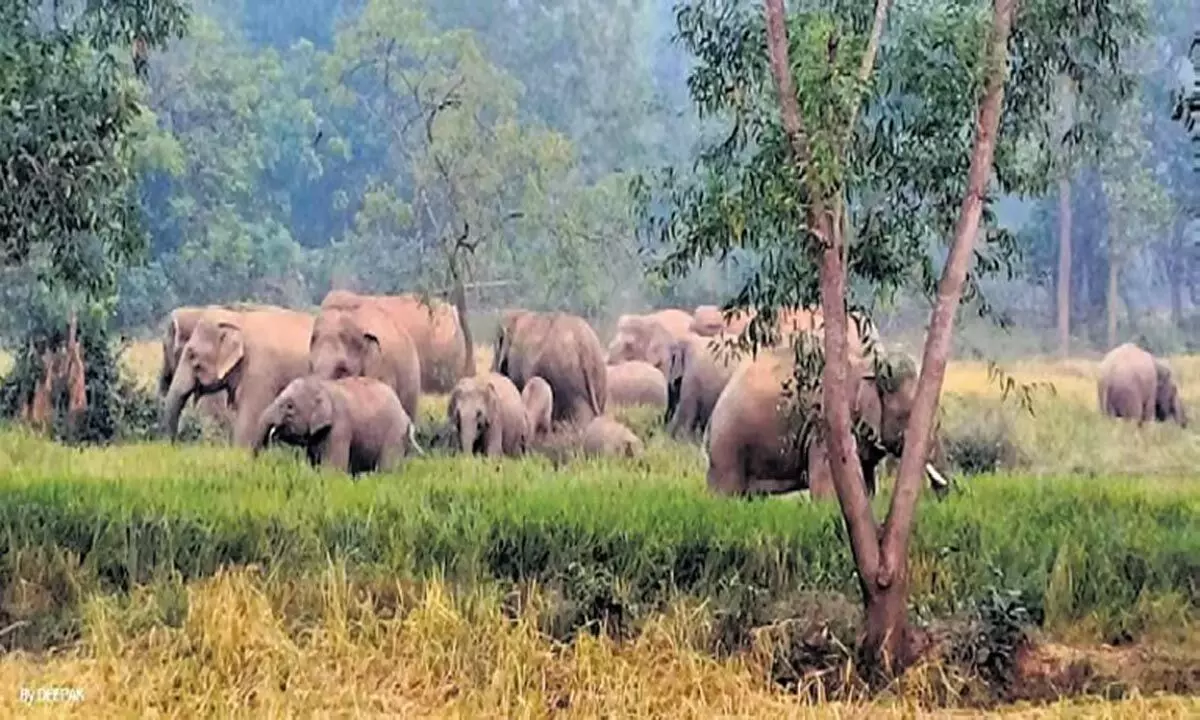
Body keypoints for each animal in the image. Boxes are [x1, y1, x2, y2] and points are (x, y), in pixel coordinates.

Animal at [253, 374, 422, 475]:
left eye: (290, 407)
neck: (322, 385)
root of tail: (406, 417)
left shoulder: (340, 427)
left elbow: (333, 469)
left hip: (395, 434)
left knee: (387, 470)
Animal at [700, 343, 945, 501]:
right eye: (907, 415)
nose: (942, 489)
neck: (868, 365)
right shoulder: (826, 427)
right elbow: (826, 484)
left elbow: (866, 484)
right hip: (728, 443)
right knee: (727, 493)